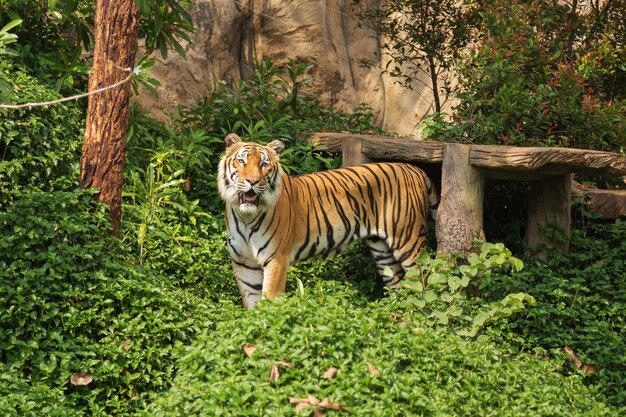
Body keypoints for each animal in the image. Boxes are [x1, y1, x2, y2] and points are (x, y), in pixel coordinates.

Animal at [217, 133, 436, 308]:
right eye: (242, 162)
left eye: (264, 164)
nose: (252, 182)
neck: (246, 217)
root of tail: (415, 169)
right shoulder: (244, 263)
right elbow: (252, 305)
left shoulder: (276, 260)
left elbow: (270, 301)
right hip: (382, 250)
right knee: (399, 284)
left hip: (409, 242)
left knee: (424, 280)